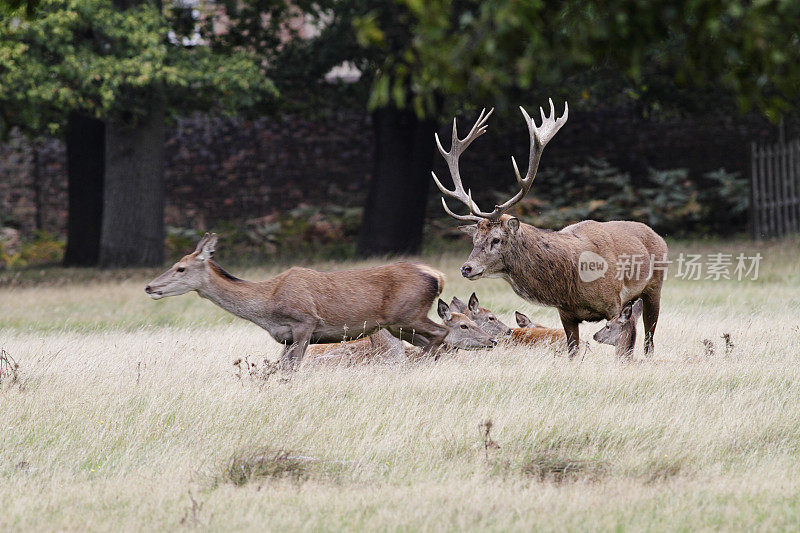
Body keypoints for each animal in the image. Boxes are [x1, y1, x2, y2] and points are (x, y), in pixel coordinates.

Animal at [145, 233, 450, 370]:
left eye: (180, 268)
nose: (149, 287)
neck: (266, 306)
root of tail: (438, 276)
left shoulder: (306, 322)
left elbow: (292, 370)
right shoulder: (287, 337)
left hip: (409, 314)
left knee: (443, 333)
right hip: (400, 325)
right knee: (430, 341)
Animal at [432, 100, 668, 358]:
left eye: (496, 239)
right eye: (474, 240)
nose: (466, 268)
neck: (572, 282)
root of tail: (657, 235)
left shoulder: (614, 303)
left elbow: (623, 346)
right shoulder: (565, 313)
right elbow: (572, 352)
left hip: (655, 286)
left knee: (649, 338)